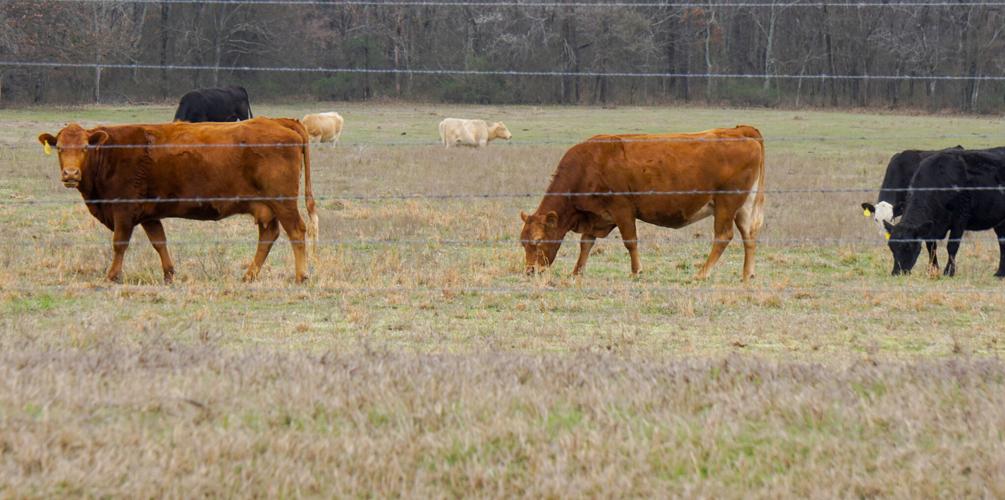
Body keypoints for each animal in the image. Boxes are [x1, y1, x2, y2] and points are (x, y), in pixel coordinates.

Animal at [37, 117, 318, 283]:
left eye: (85, 148)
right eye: (60, 148)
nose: (70, 174)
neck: (110, 153)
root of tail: (280, 121)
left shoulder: (124, 211)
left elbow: (119, 244)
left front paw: (113, 275)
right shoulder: (149, 215)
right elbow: (159, 242)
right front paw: (169, 273)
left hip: (282, 202)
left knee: (297, 231)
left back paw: (301, 275)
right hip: (266, 208)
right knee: (269, 236)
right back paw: (249, 274)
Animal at [519, 126, 765, 281]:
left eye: (538, 241)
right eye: (523, 242)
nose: (530, 271)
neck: (589, 165)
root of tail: (740, 131)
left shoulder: (622, 210)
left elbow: (630, 242)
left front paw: (636, 271)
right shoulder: (595, 216)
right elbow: (586, 244)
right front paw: (577, 271)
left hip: (726, 203)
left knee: (723, 236)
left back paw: (702, 273)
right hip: (743, 207)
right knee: (749, 235)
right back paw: (747, 273)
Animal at [884, 147, 1005, 277]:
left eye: (908, 246)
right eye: (891, 247)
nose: (897, 272)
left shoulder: (960, 218)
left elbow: (952, 246)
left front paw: (949, 271)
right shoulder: (931, 226)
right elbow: (931, 247)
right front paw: (933, 270)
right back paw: (1000, 273)